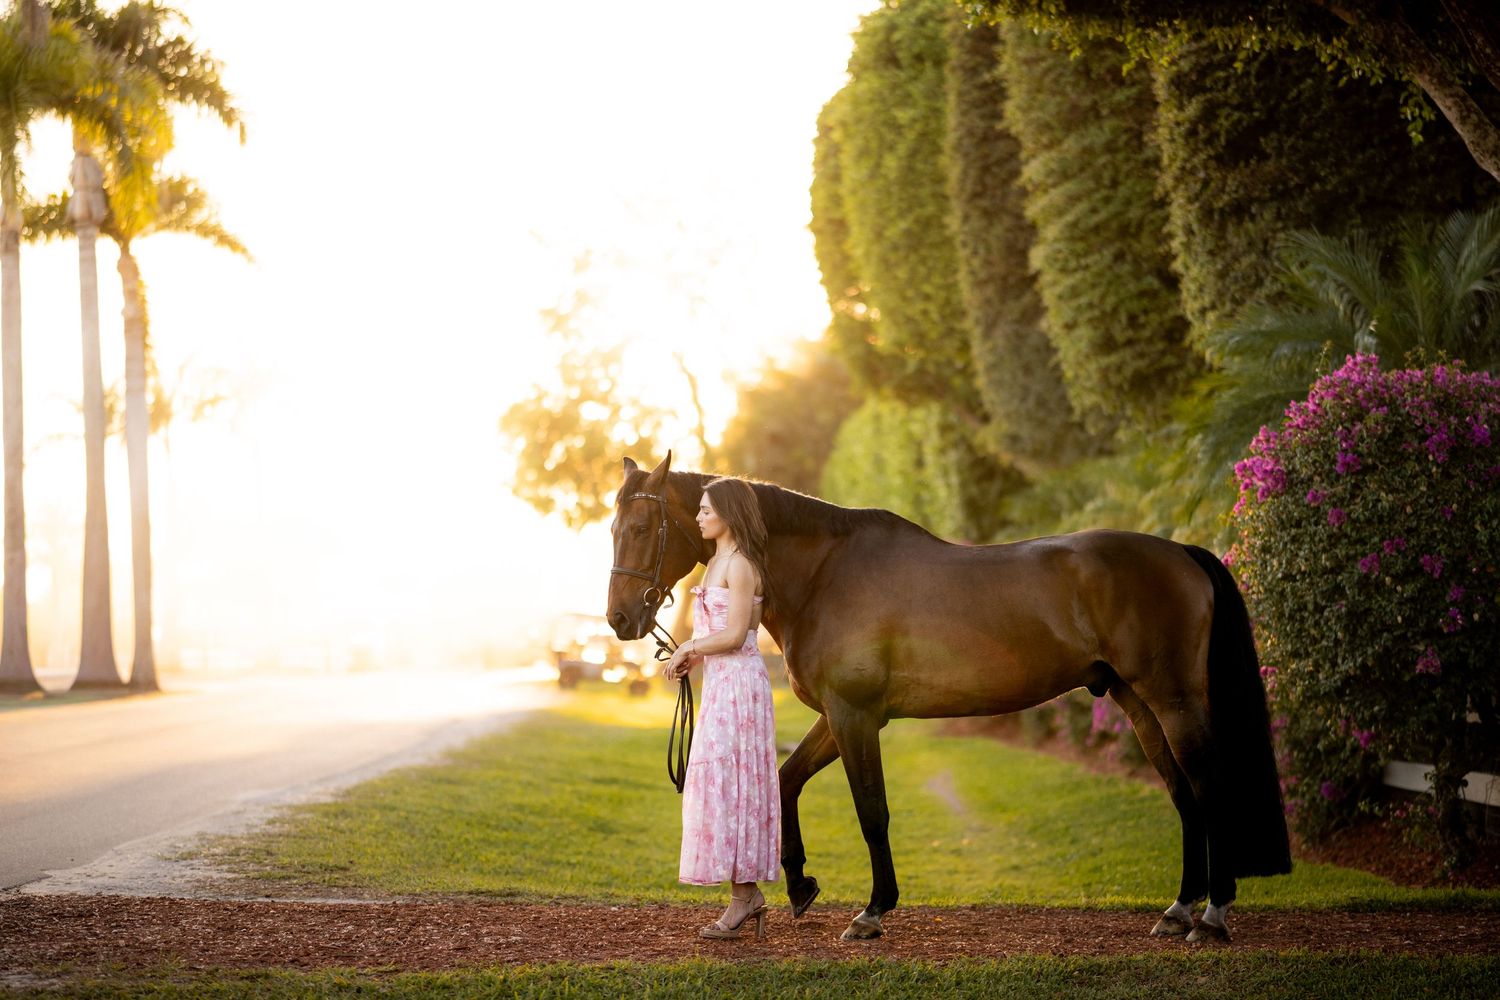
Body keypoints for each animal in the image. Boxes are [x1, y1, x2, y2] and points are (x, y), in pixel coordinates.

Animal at [606, 453, 1291, 943]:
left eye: (640, 527)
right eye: (613, 528)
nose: (619, 620)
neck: (825, 573)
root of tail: (1181, 552)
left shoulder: (856, 717)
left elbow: (872, 811)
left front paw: (873, 911)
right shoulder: (839, 716)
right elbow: (788, 778)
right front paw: (800, 886)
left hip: (1173, 701)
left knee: (1209, 789)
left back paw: (1212, 918)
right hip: (1138, 704)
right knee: (1184, 797)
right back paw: (1178, 911)